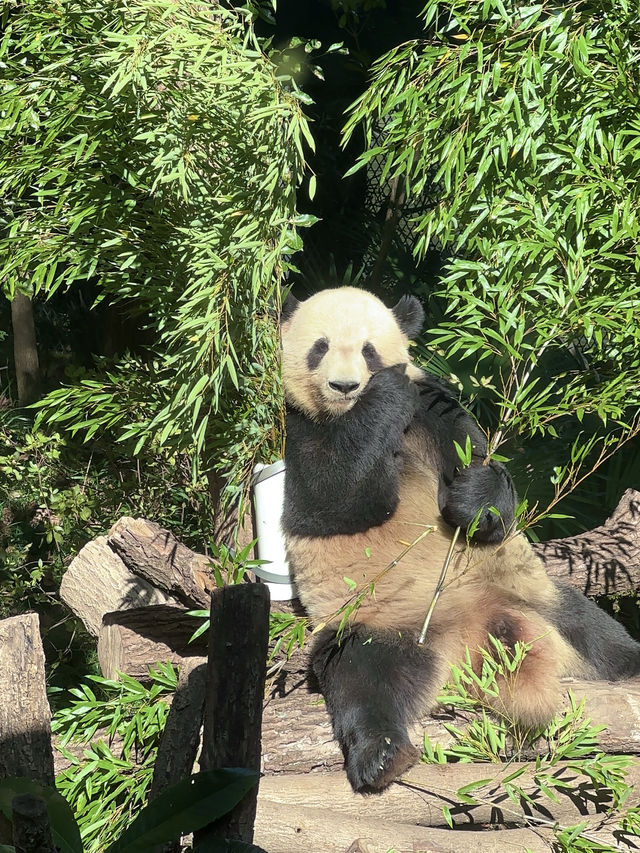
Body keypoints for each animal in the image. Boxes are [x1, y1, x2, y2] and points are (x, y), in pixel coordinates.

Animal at [278, 286, 640, 792]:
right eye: (320, 347)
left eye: (369, 350)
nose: (345, 386)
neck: (345, 416)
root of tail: (469, 637)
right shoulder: (297, 426)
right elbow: (331, 498)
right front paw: (380, 400)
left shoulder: (432, 408)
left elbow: (480, 467)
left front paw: (473, 497)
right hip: (382, 619)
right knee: (360, 672)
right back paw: (382, 755)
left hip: (530, 593)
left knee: (599, 636)